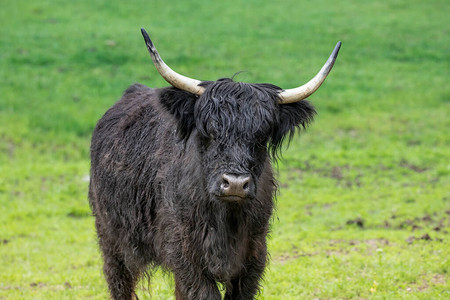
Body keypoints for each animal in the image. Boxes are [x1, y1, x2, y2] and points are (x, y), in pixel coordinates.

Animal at [89, 28, 342, 300]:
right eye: (209, 131)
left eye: (262, 135)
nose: (235, 184)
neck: (226, 219)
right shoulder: (185, 254)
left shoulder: (253, 256)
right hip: (111, 239)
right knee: (119, 281)